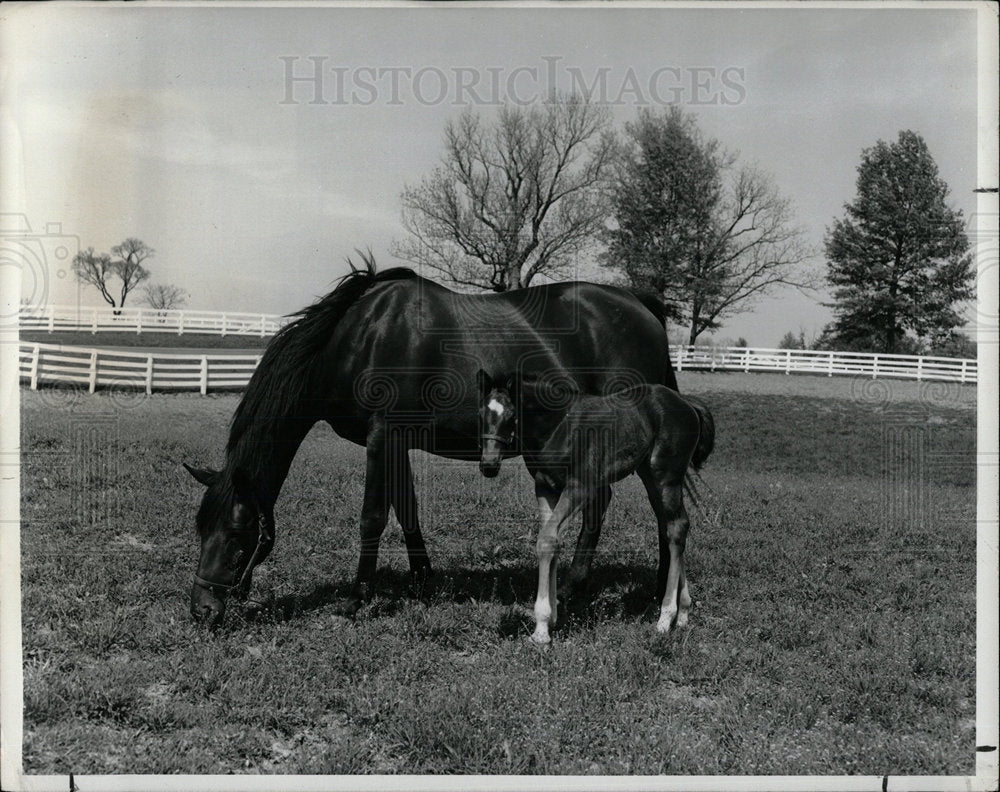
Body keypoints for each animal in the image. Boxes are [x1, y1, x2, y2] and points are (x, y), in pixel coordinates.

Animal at [184, 256, 676, 628]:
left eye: (237, 534)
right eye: (200, 528)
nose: (202, 610)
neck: (358, 338)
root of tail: (639, 304)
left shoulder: (381, 436)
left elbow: (372, 517)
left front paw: (358, 598)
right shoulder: (396, 439)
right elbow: (407, 509)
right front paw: (423, 581)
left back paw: (607, 590)